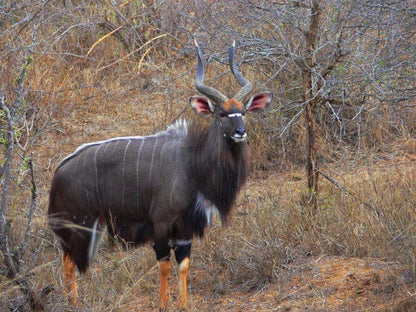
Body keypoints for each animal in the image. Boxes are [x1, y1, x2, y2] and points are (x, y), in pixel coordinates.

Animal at [48, 40, 272, 310]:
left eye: (243, 112)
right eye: (221, 114)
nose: (240, 132)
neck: (193, 164)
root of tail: (59, 171)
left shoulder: (185, 229)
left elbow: (183, 266)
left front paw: (184, 304)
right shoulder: (162, 224)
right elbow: (164, 265)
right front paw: (163, 304)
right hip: (80, 226)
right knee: (69, 262)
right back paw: (72, 303)